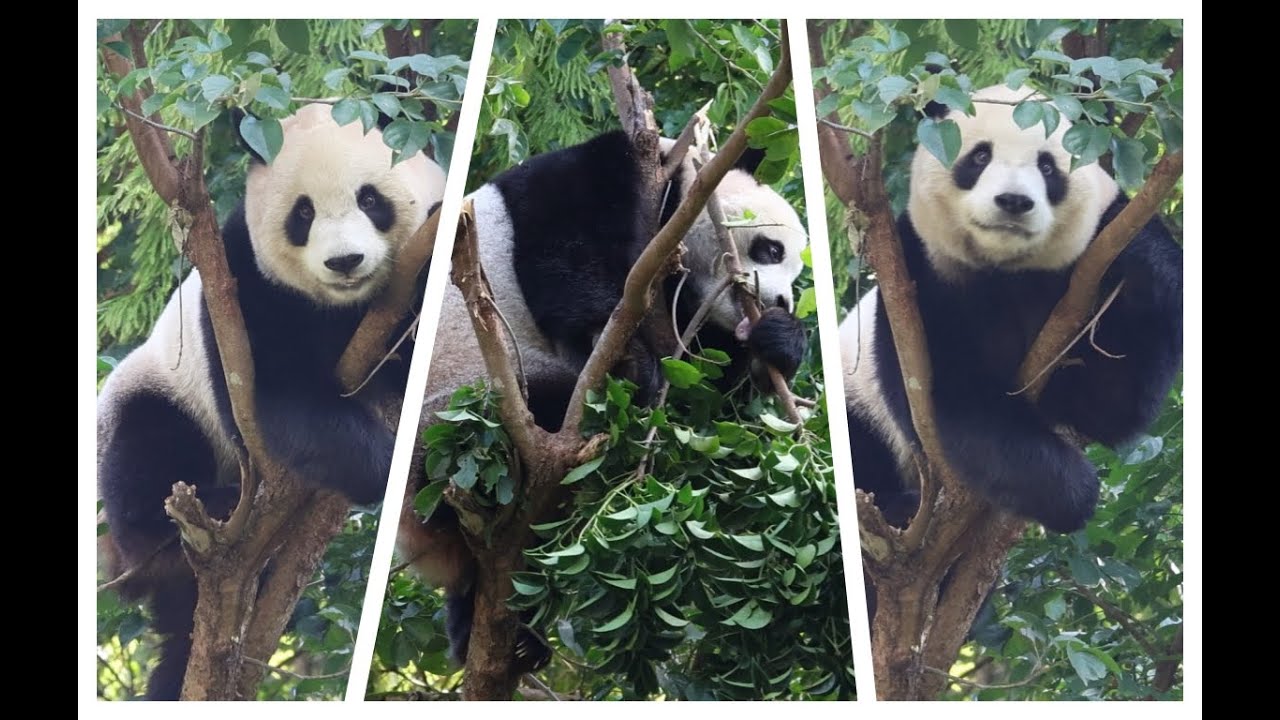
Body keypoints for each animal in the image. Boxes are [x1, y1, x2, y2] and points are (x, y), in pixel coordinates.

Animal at [97, 103, 446, 700]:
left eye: (369, 199)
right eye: (302, 213)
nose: (345, 261)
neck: (344, 308)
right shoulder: (241, 288)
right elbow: (274, 399)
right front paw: (384, 468)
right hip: (151, 397)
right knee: (148, 449)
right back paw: (200, 512)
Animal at [395, 129, 810, 670]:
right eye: (771, 248)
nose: (780, 300)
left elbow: (703, 401)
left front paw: (778, 341)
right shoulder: (602, 176)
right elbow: (563, 244)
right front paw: (621, 354)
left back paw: (499, 637)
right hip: (458, 417)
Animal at [840, 84, 1183, 533]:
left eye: (1048, 167)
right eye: (980, 157)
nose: (1014, 201)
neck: (1006, 269)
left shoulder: (1080, 282)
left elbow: (1110, 401)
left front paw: (1146, 259)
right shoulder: (916, 287)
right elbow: (951, 399)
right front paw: (1075, 491)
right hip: (859, 397)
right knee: (862, 445)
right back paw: (900, 509)